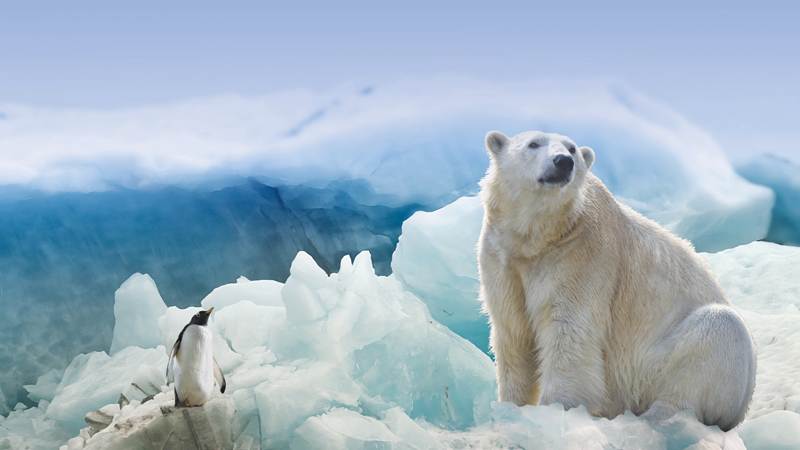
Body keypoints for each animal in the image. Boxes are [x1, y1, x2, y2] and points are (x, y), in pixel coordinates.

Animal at [477, 130, 756, 431]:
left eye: (572, 149)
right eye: (533, 144)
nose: (563, 162)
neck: (540, 237)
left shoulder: (581, 255)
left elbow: (569, 332)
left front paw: (555, 411)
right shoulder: (502, 258)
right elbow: (514, 333)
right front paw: (511, 408)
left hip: (660, 364)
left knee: (717, 332)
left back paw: (657, 419)